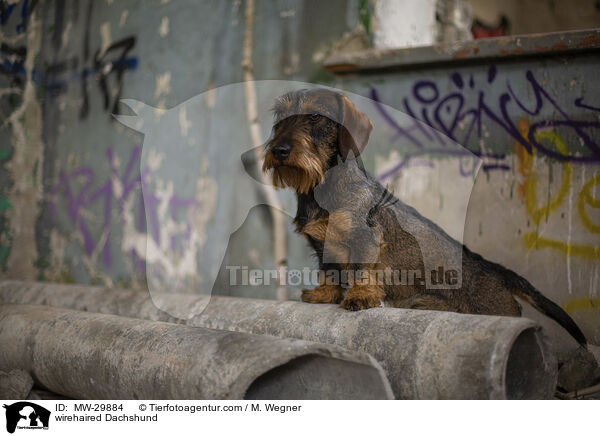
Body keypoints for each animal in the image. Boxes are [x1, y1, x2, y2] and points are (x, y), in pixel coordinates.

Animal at [262, 87, 584, 348]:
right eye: (279, 119)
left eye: (315, 115)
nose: (279, 150)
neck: (323, 187)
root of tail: (497, 272)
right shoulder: (322, 244)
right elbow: (328, 270)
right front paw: (324, 293)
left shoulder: (365, 237)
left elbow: (363, 268)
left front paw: (359, 296)